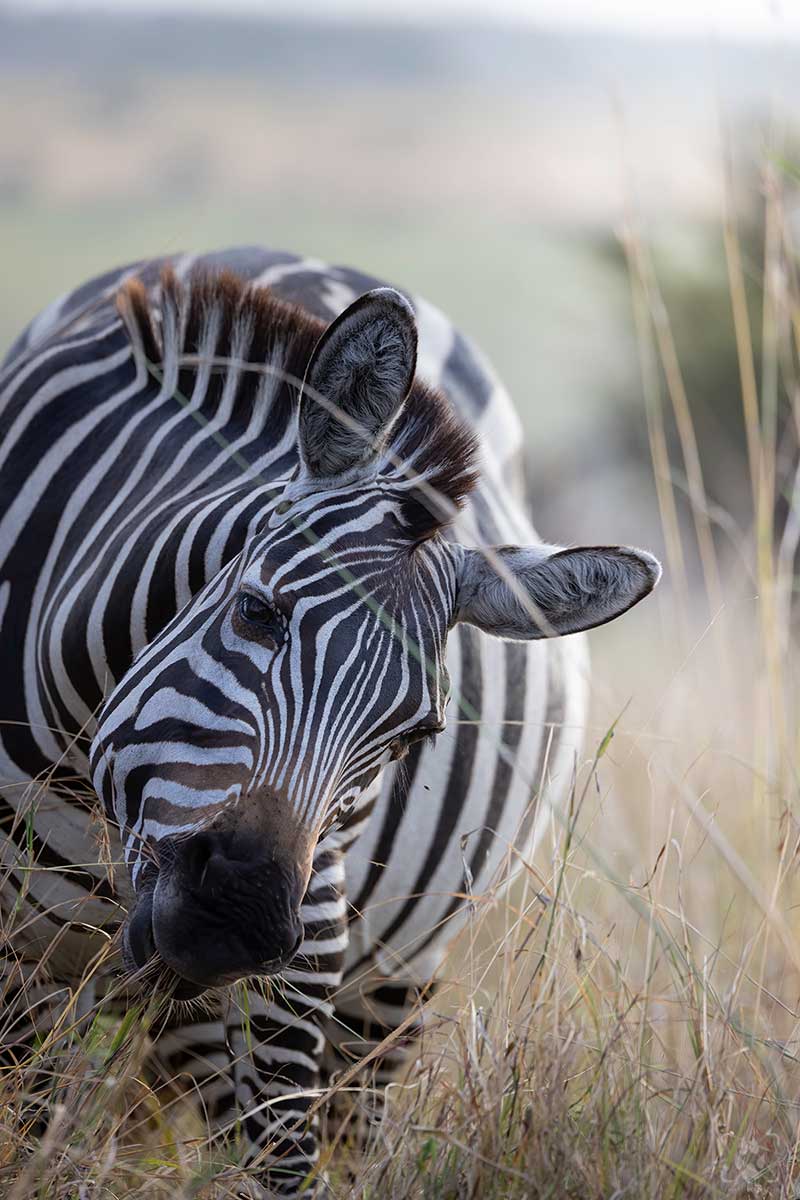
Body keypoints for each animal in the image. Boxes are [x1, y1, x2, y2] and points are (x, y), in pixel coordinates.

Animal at [0, 245, 660, 1195]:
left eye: (414, 735)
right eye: (256, 612)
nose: (233, 920)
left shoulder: (310, 927)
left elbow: (284, 1154)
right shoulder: (24, 957)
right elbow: (25, 1128)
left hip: (394, 973)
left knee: (341, 1124)